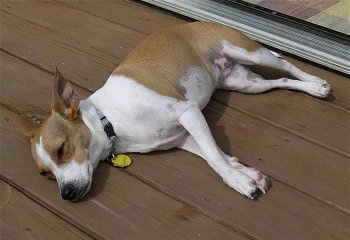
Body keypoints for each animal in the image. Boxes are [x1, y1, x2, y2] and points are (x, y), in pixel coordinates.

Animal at [21, 22, 330, 201]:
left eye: (61, 150)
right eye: (45, 174)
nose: (67, 194)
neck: (110, 120)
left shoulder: (188, 112)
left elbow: (215, 158)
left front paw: (238, 182)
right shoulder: (184, 136)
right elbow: (216, 155)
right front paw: (245, 174)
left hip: (248, 52)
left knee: (285, 65)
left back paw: (317, 83)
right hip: (247, 84)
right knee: (281, 82)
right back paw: (311, 87)